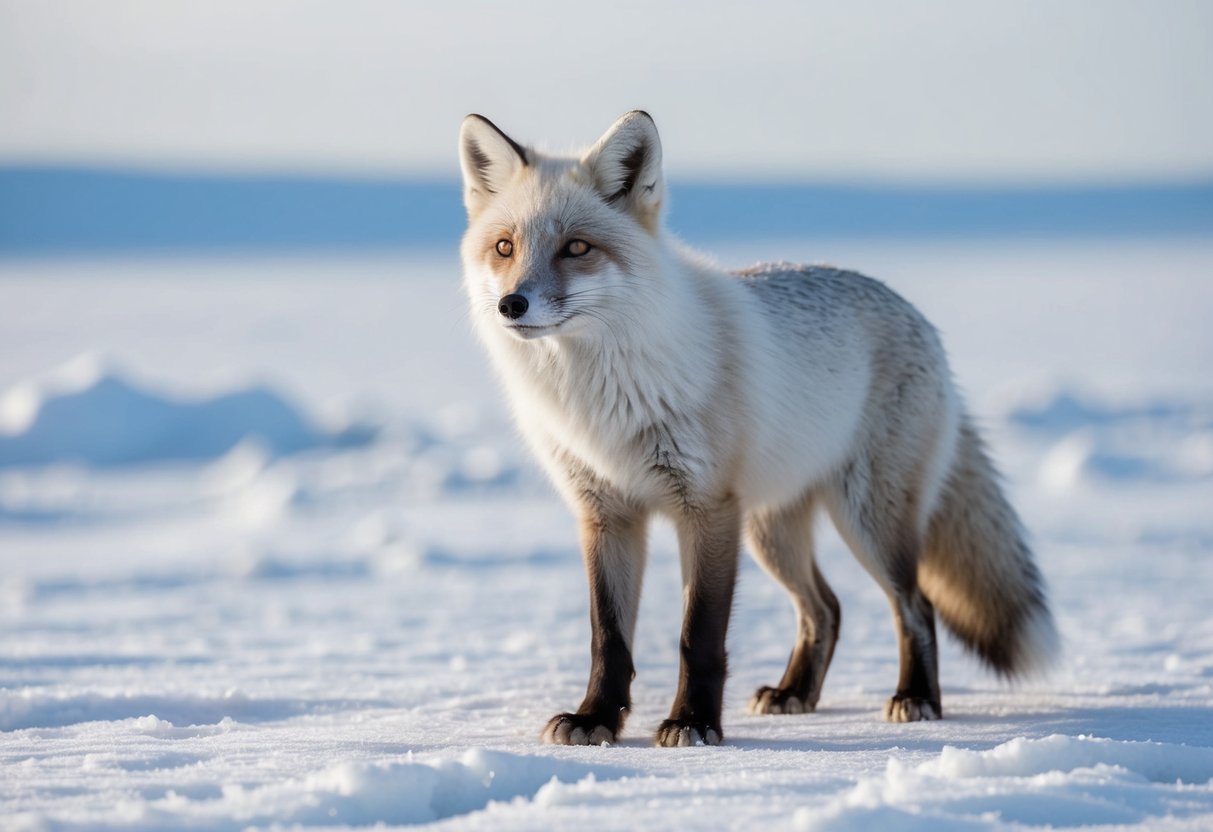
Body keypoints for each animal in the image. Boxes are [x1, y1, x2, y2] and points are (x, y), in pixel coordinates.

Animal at [458, 110, 1058, 747]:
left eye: (576, 247)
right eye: (505, 247)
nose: (512, 304)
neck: (602, 395)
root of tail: (923, 323)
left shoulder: (708, 508)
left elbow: (699, 636)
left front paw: (693, 724)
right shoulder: (606, 514)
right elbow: (608, 638)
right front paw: (596, 719)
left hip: (867, 521)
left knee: (914, 605)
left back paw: (917, 697)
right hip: (773, 531)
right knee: (826, 609)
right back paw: (796, 693)